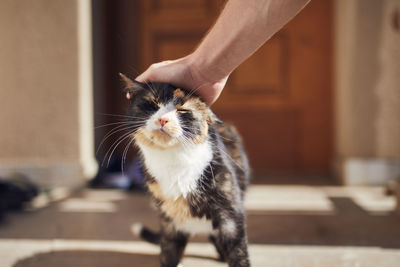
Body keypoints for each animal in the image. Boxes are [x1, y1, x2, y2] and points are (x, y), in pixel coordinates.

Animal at [119, 74, 250, 267]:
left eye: (182, 110)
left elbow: (238, 252)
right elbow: (169, 253)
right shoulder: (169, 221)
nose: (163, 119)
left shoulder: (231, 215)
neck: (174, 162)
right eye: (153, 103)